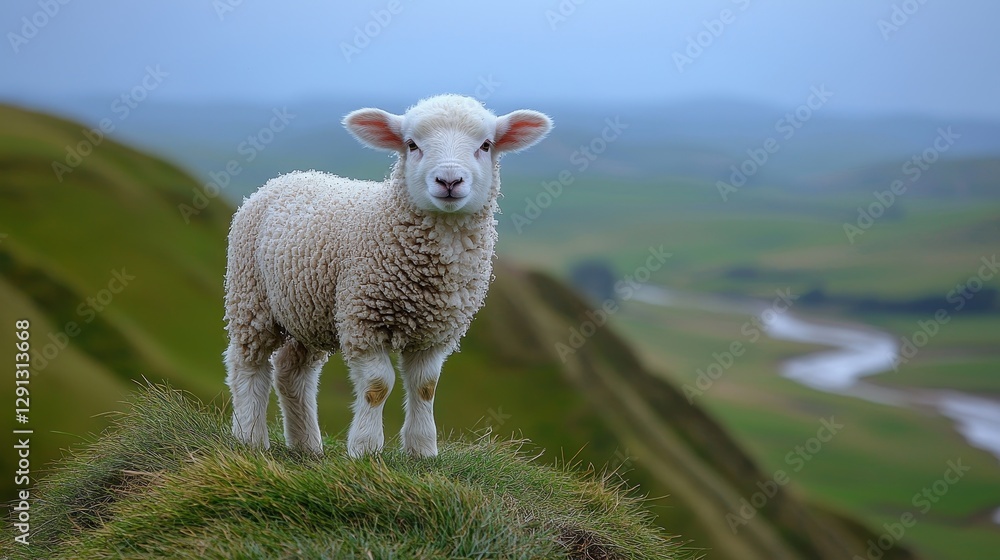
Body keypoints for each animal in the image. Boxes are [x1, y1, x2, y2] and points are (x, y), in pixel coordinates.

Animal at [223, 94, 552, 458]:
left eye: (485, 145)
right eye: (412, 145)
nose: (449, 181)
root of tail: (288, 176)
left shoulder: (435, 334)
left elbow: (425, 387)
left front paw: (422, 450)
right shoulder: (363, 320)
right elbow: (377, 386)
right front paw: (365, 448)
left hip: (306, 312)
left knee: (291, 371)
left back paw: (307, 445)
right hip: (250, 296)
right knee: (247, 365)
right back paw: (250, 437)